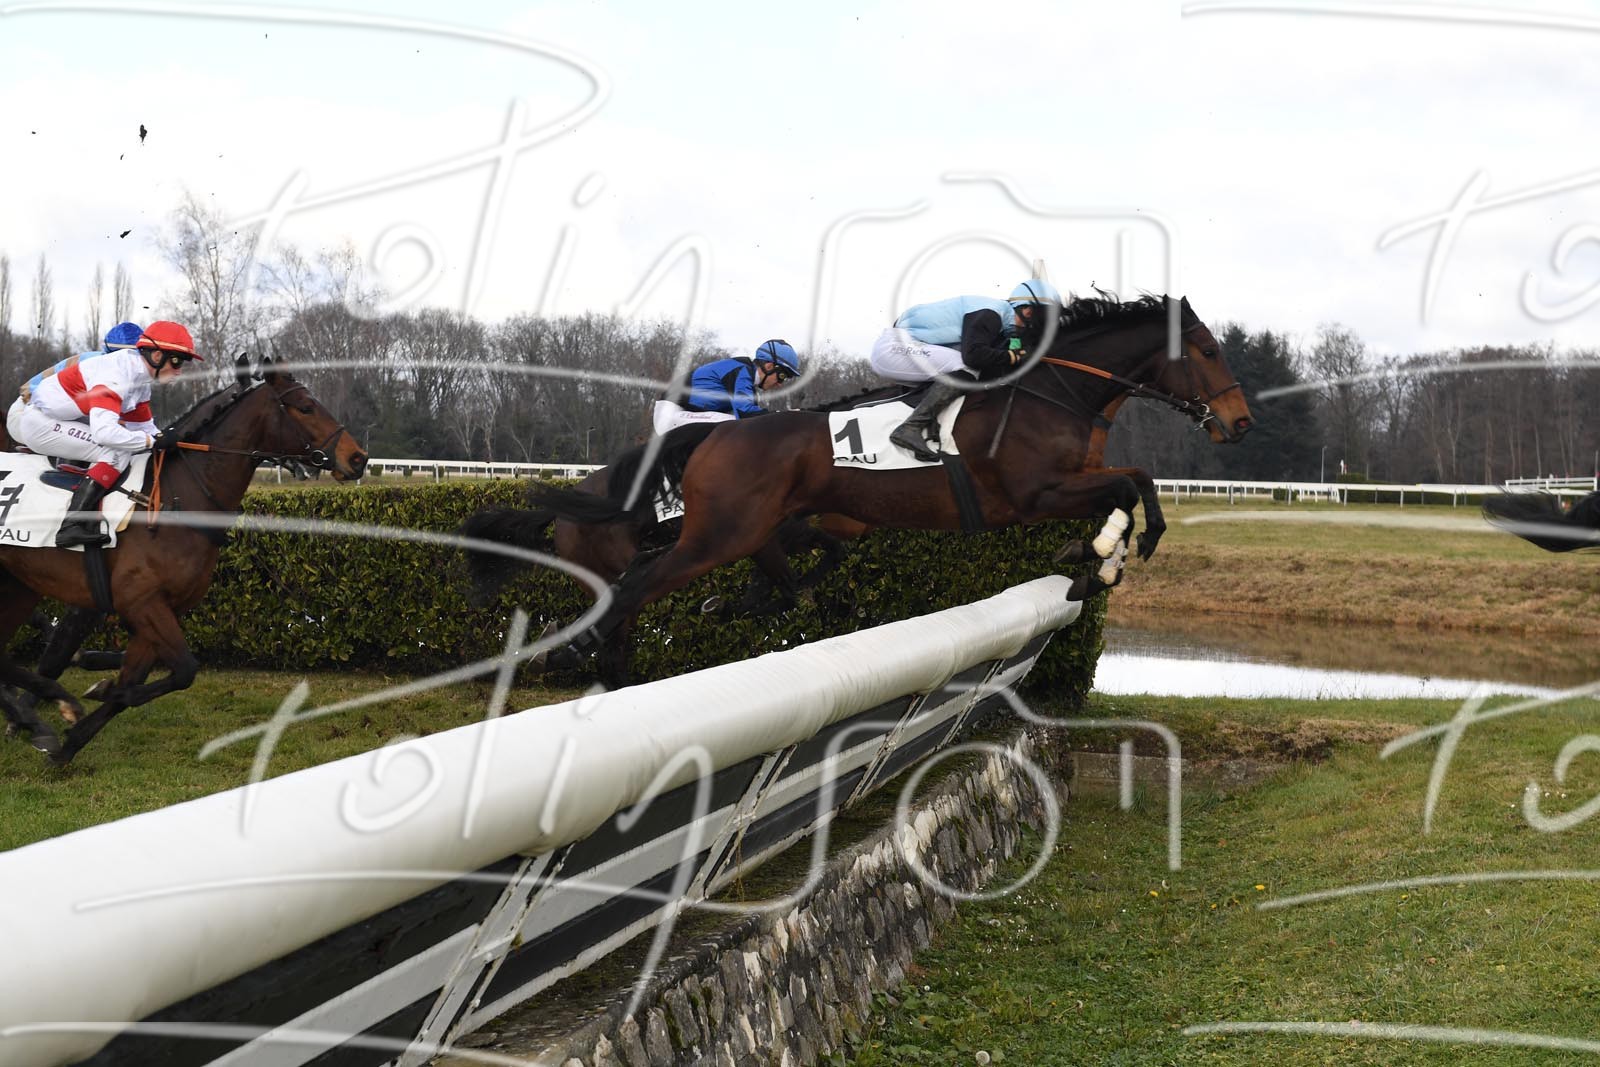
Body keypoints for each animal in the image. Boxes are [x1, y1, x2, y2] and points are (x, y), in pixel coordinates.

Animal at [0, 360, 368, 763]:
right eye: (305, 407)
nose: (358, 458)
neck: (176, 498)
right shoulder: (139, 601)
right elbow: (184, 670)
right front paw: (86, 694)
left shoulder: (158, 610)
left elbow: (146, 681)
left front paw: (74, 736)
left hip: (18, 586)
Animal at [525, 293, 1254, 663]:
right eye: (1208, 349)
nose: (1240, 423)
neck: (1052, 390)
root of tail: (718, 432)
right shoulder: (1034, 493)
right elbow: (1130, 486)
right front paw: (1101, 557)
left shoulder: (1076, 476)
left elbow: (1136, 482)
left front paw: (1098, 556)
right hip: (717, 535)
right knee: (635, 586)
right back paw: (591, 653)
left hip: (758, 527)